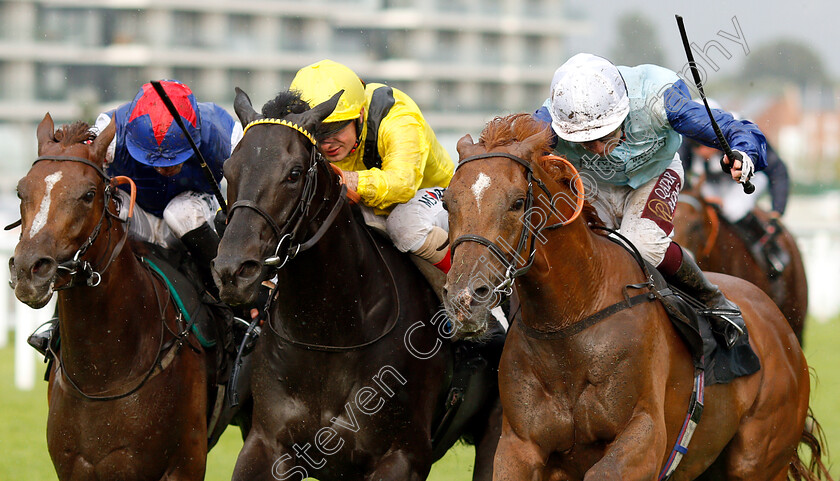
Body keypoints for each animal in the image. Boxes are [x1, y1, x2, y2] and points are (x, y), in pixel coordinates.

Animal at [10, 114, 212, 478]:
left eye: (89, 194)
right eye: (21, 190)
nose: (29, 269)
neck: (102, 378)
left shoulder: (185, 464)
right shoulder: (73, 467)